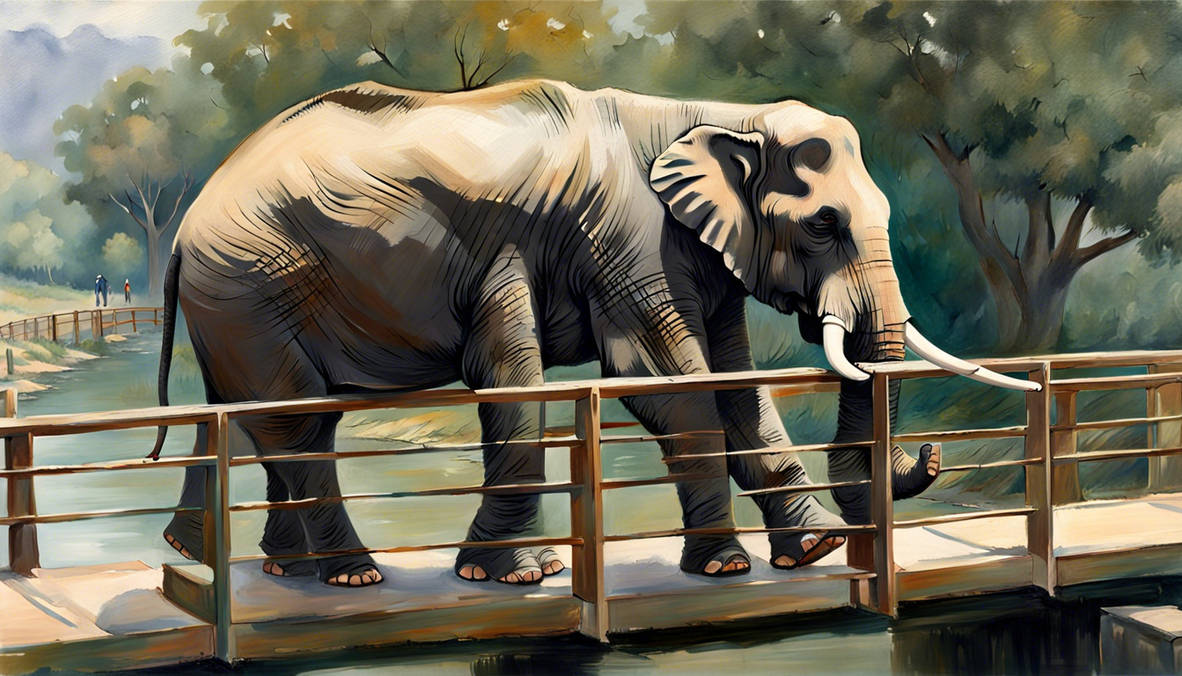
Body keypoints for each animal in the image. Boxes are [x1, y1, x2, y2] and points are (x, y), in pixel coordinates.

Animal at [150, 79, 1038, 588]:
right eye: (823, 226)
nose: (931, 454)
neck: (704, 117)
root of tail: (185, 230)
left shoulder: (694, 250)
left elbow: (735, 383)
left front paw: (811, 551)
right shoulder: (625, 240)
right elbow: (658, 377)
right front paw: (714, 567)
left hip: (242, 299)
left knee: (271, 419)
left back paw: (273, 566)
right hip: (252, 285)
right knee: (299, 421)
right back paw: (352, 578)